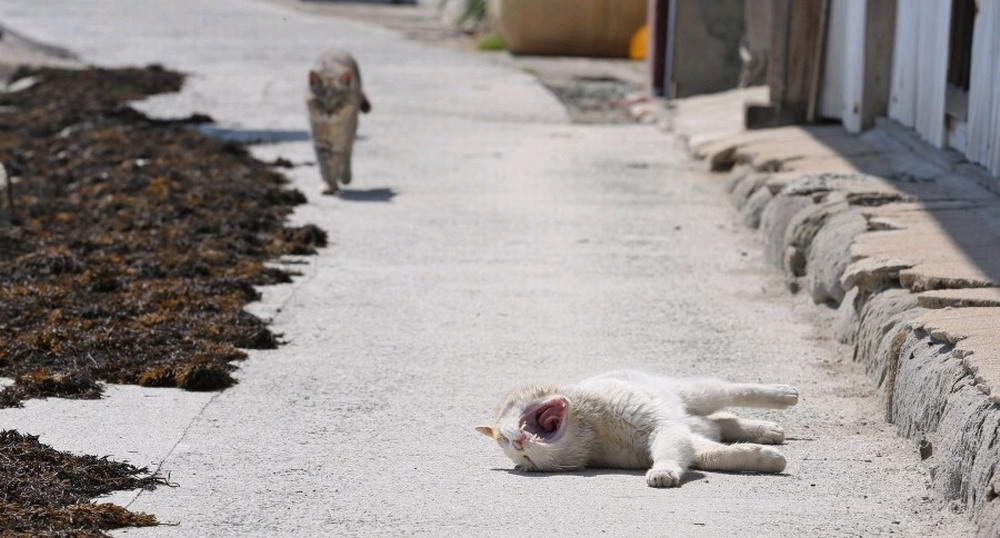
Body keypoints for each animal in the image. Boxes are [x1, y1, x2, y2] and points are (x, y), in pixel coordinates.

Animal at [476, 368, 796, 486]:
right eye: (527, 460)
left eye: (506, 439)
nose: (520, 443)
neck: (593, 427)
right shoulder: (681, 438)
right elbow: (716, 455)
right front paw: (765, 459)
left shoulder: (661, 427)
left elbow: (673, 451)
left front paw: (663, 470)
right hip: (695, 423)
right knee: (722, 423)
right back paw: (766, 431)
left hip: (695, 394)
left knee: (728, 392)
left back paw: (783, 395)